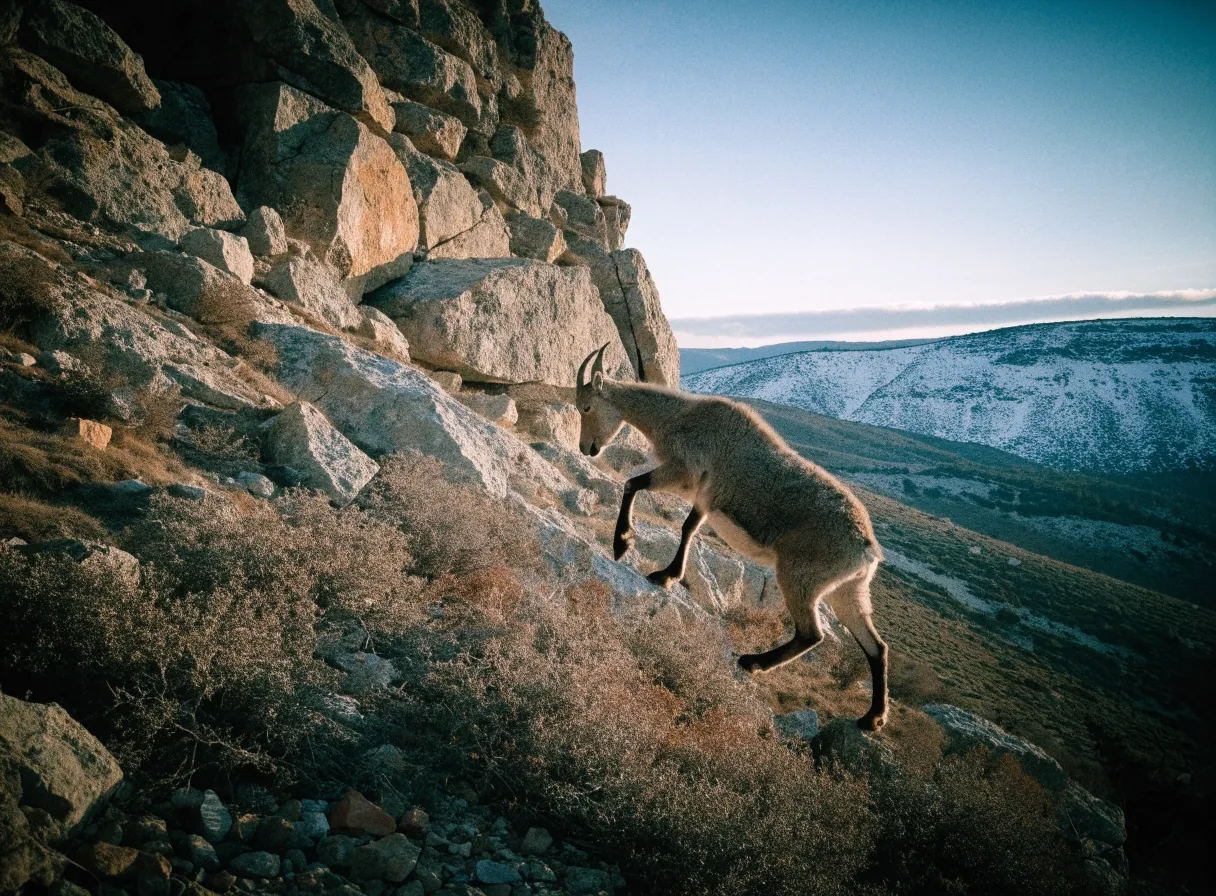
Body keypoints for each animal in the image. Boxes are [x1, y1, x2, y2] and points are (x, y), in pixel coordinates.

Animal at [575, 344, 889, 730]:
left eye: (586, 407)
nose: (587, 448)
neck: (676, 417)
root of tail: (867, 550)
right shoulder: (704, 498)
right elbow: (688, 527)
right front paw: (667, 575)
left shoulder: (681, 472)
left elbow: (633, 485)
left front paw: (622, 544)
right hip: (849, 592)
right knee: (876, 647)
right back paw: (872, 718)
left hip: (801, 577)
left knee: (812, 634)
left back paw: (753, 662)